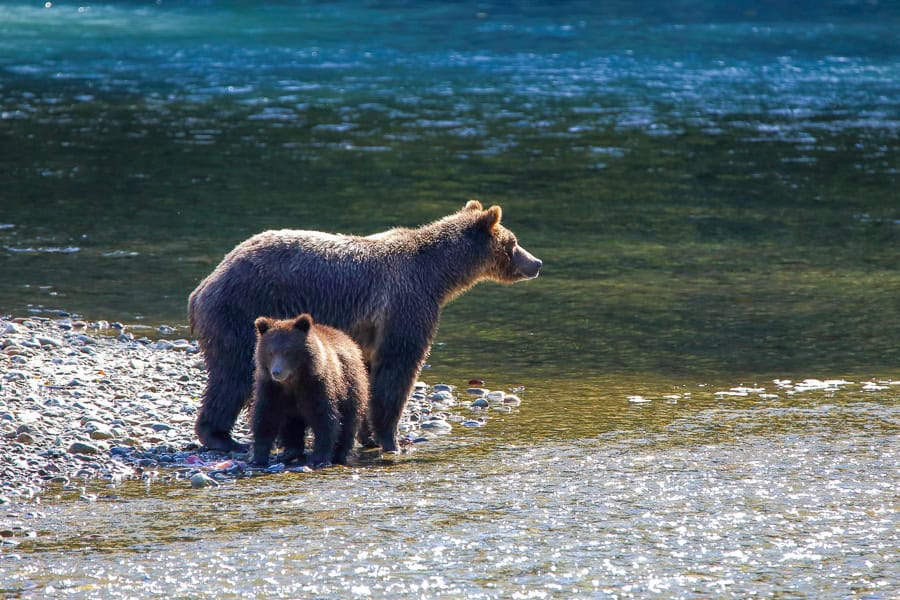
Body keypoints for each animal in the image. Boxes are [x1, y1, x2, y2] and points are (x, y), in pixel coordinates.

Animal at [250, 313, 368, 468]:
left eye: (288, 351)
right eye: (270, 352)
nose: (276, 372)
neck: (292, 382)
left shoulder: (317, 385)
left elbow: (324, 418)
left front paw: (319, 458)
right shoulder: (271, 388)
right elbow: (266, 416)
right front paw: (258, 457)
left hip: (351, 386)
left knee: (348, 422)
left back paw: (340, 454)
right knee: (291, 423)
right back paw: (289, 452)